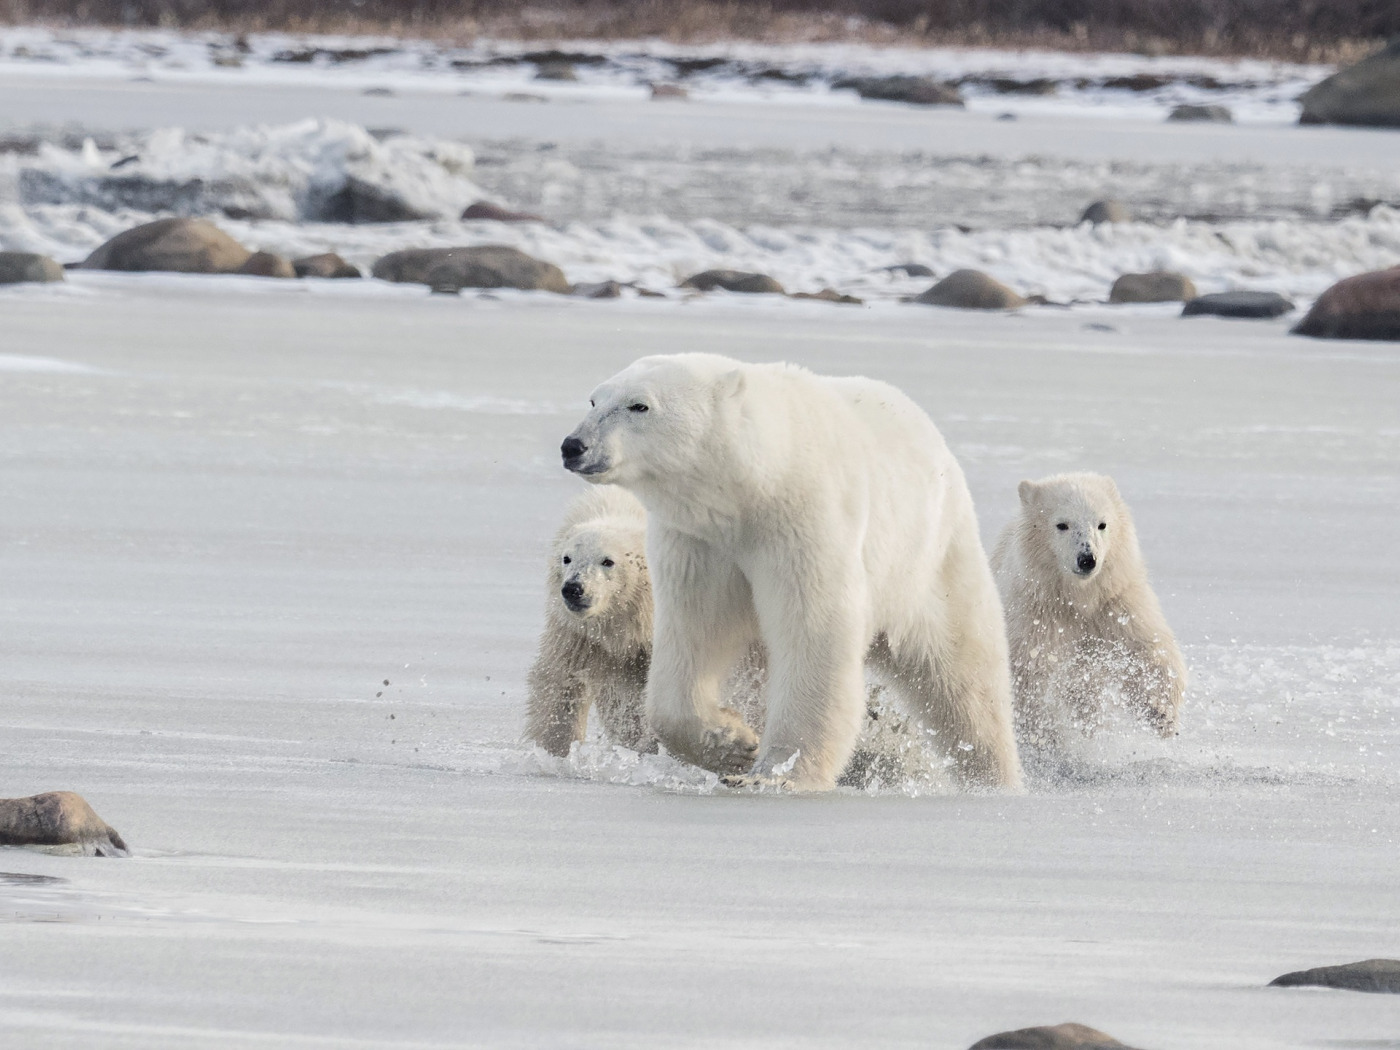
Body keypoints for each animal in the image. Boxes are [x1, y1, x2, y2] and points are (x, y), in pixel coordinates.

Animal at [557, 358, 1019, 795]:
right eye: (594, 400)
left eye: (640, 405)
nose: (573, 445)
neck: (757, 484)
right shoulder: (698, 543)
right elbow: (695, 632)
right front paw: (734, 744)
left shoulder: (804, 523)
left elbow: (815, 632)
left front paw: (778, 774)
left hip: (928, 563)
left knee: (963, 675)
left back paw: (995, 775)